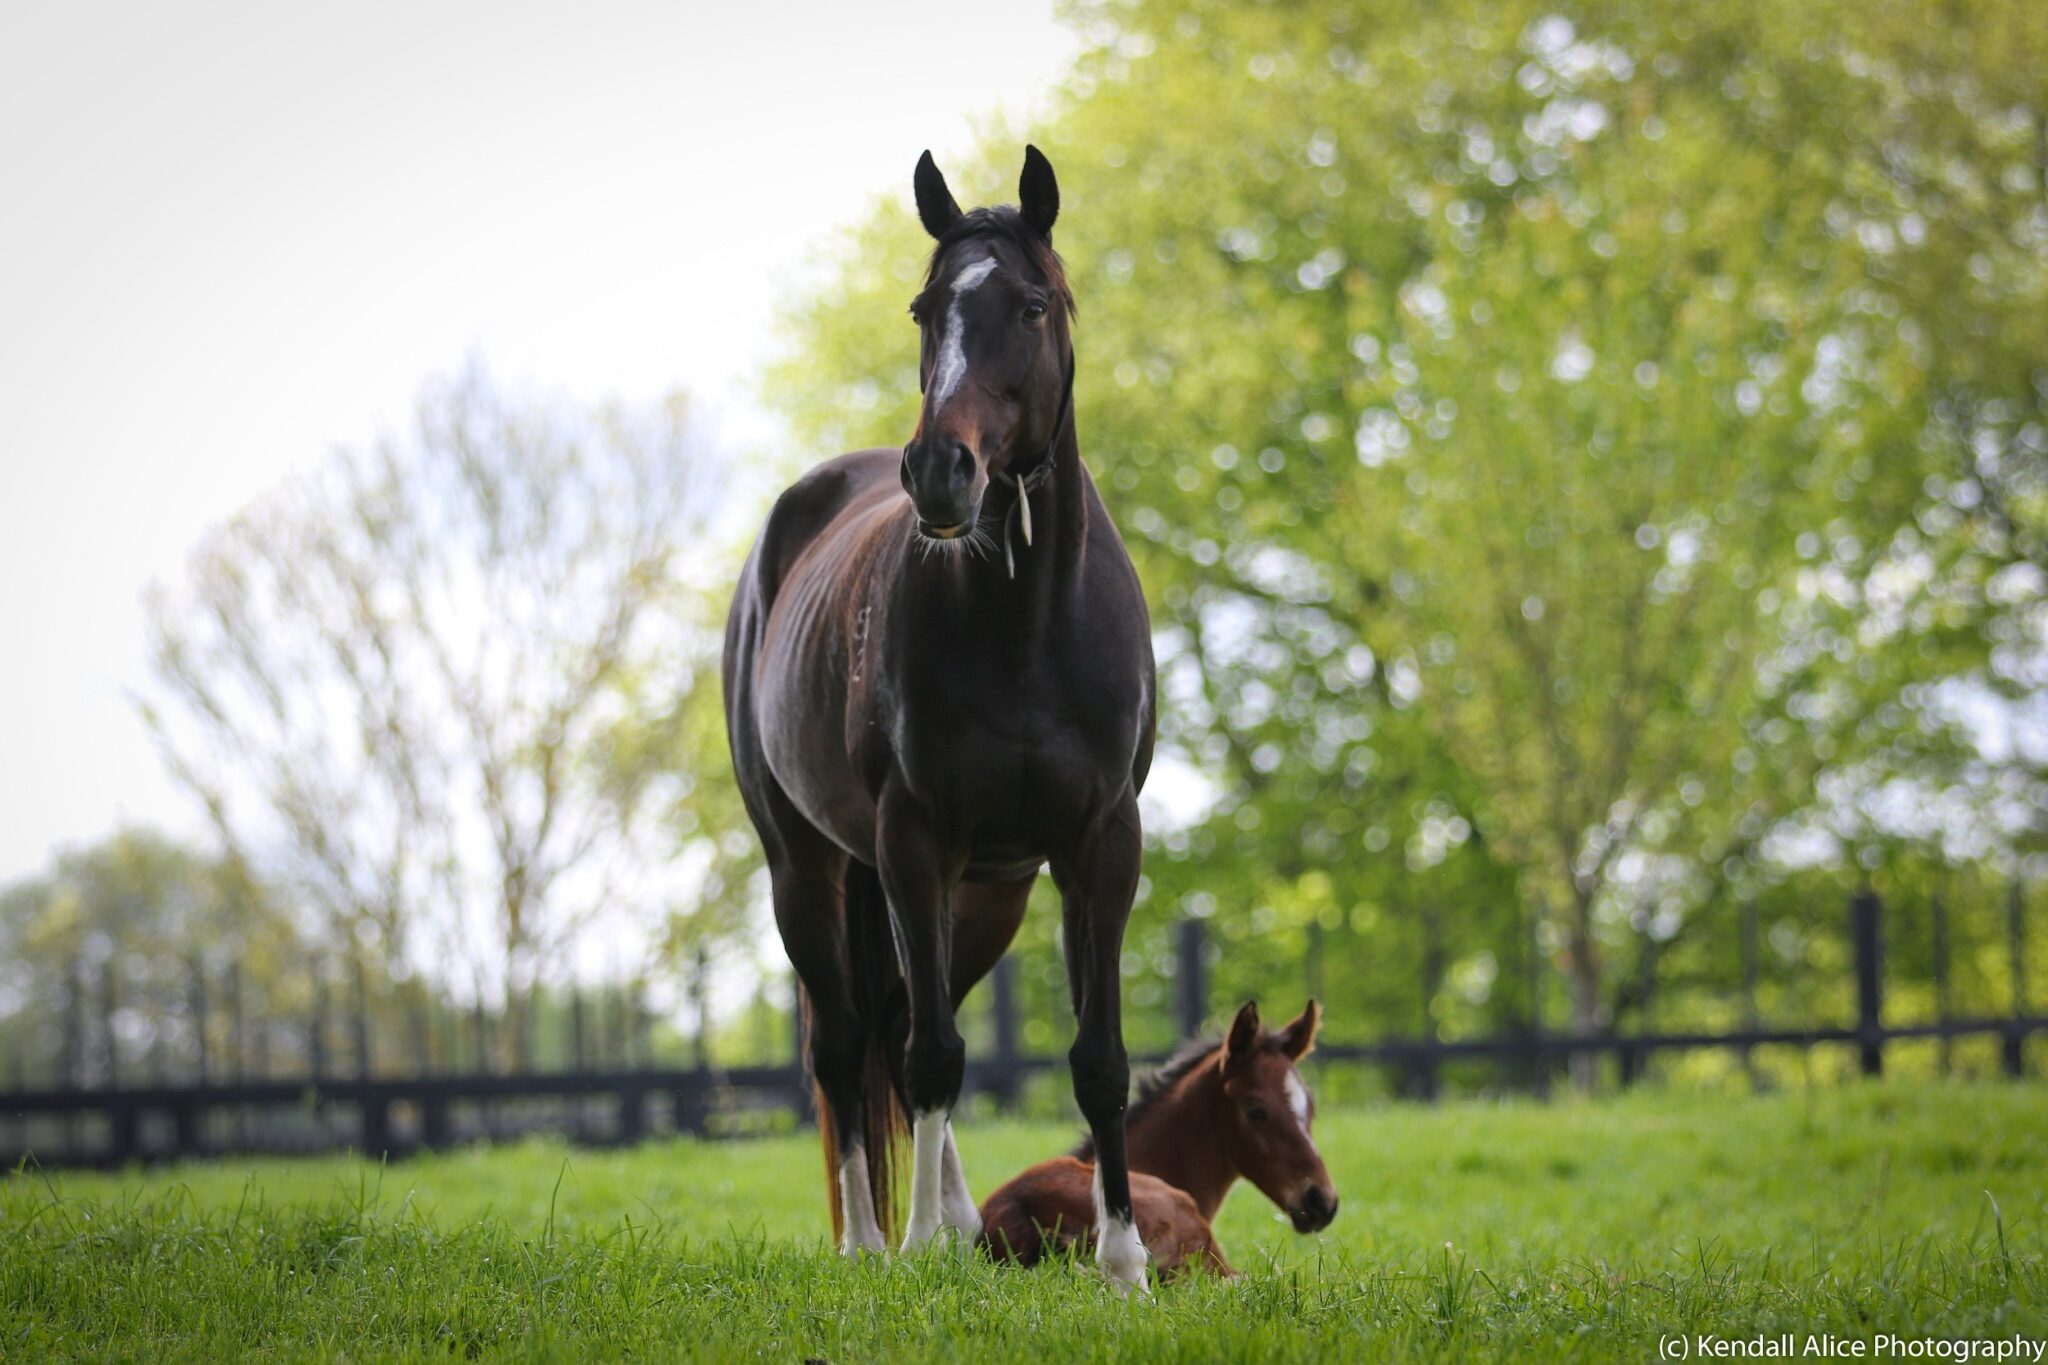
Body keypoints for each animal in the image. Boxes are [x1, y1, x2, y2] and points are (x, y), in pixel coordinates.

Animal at [729, 147, 1163, 1293]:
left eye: (1032, 304)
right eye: (927, 308)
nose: (939, 471)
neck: (1025, 624)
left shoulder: (1098, 841)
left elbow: (1096, 1059)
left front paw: (1124, 1261)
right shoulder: (912, 837)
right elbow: (927, 1059)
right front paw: (917, 1245)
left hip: (984, 896)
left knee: (897, 1019)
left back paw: (961, 1222)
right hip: (811, 868)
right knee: (849, 1044)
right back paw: (875, 1240)